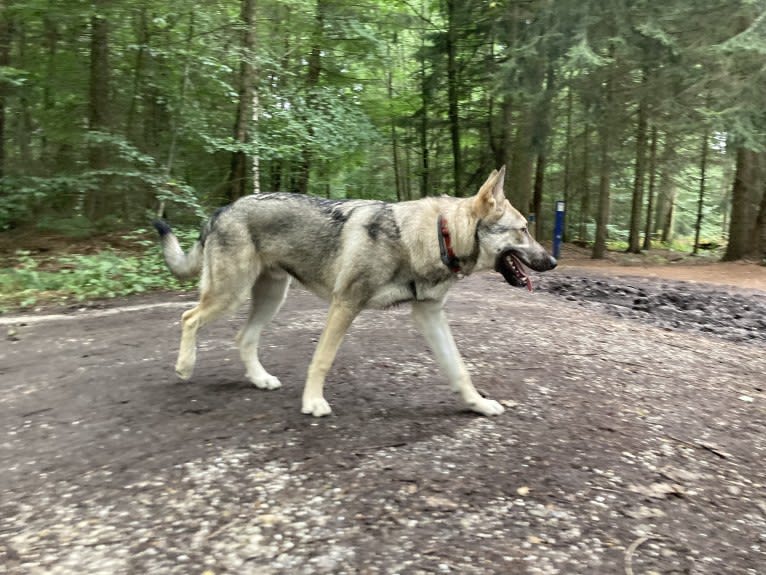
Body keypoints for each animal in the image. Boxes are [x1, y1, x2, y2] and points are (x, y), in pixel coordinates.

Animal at [153, 166, 560, 418]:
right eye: (523, 230)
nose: (554, 261)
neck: (436, 236)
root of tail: (222, 210)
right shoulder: (345, 304)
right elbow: (322, 359)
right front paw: (313, 402)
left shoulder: (428, 314)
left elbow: (459, 369)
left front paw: (478, 405)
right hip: (231, 295)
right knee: (188, 317)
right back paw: (185, 365)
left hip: (270, 298)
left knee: (243, 337)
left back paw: (260, 379)